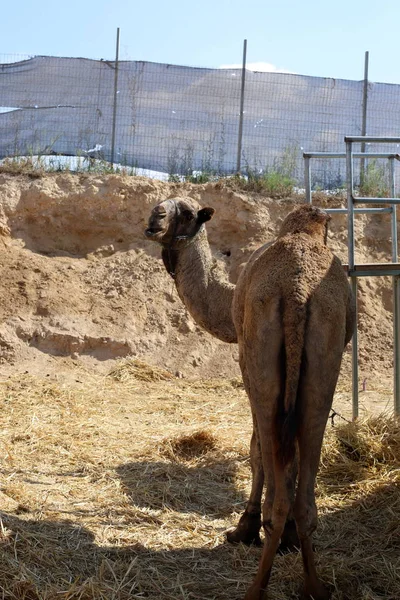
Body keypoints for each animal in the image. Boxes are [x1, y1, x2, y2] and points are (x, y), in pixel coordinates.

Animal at [144, 195, 354, 596]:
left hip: (262, 354)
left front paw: (244, 527)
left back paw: (257, 583)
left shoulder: (244, 359)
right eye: (159, 207)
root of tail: (298, 291)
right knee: (305, 478)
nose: (155, 218)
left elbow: (257, 450)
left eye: (186, 212)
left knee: (270, 457)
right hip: (326, 352)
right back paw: (313, 585)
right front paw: (287, 538)